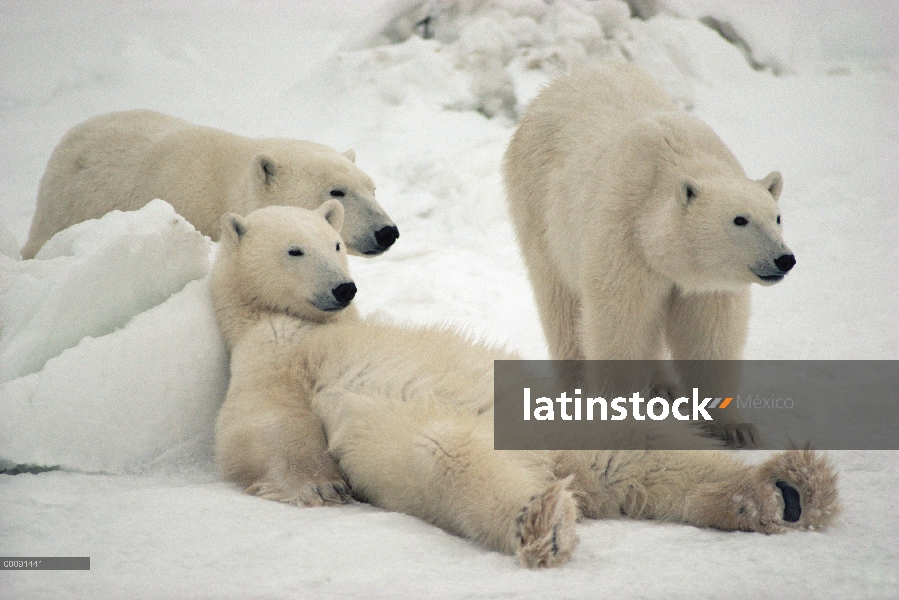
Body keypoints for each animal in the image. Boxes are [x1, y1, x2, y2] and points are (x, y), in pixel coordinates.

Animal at [506, 64, 796, 440]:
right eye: (740, 219)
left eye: (777, 217)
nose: (784, 259)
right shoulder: (624, 238)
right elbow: (621, 320)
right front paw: (621, 417)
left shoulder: (705, 283)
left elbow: (709, 331)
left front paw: (734, 428)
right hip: (540, 210)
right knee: (561, 307)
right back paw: (575, 391)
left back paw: (662, 387)